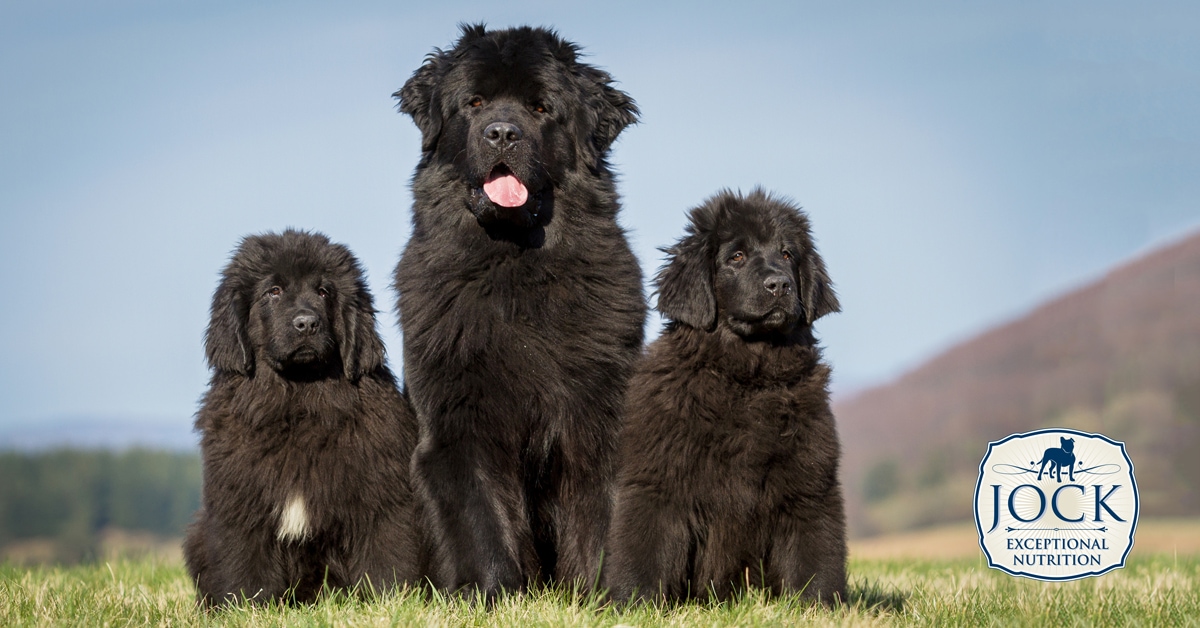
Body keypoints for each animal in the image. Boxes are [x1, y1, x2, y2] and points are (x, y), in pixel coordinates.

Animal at [184, 231, 424, 609]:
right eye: (273, 291)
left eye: (324, 291)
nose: (307, 323)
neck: (298, 401)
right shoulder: (242, 503)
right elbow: (245, 565)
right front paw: (246, 609)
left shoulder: (381, 497)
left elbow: (385, 558)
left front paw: (389, 604)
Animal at [604, 188, 849, 605]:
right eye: (736, 256)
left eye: (788, 255)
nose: (779, 285)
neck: (746, 377)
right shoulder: (658, 479)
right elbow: (645, 549)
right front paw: (633, 604)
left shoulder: (809, 483)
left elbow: (814, 556)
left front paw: (818, 607)